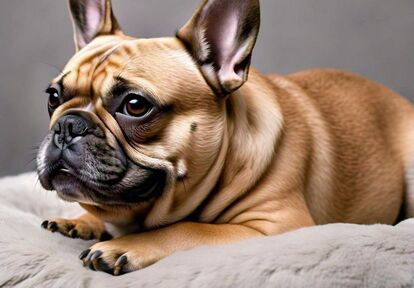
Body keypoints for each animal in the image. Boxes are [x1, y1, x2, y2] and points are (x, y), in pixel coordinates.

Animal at [38, 0, 414, 276]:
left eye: (135, 105)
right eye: (53, 96)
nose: (68, 126)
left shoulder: (278, 227)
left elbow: (189, 229)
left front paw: (126, 245)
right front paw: (80, 221)